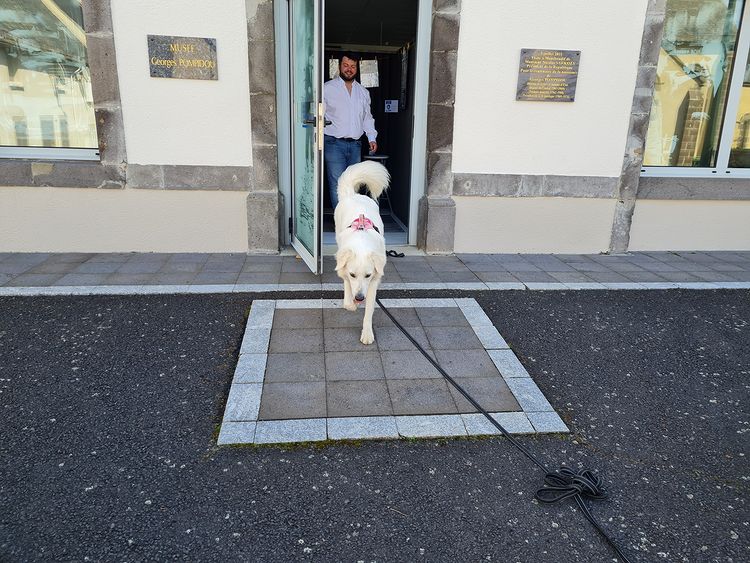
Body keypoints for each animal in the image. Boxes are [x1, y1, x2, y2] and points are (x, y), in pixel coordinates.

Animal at [336, 161, 394, 346]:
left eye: (368, 275)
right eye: (353, 274)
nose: (360, 297)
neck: (361, 241)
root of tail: (352, 195)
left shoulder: (374, 281)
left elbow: (369, 310)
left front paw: (367, 333)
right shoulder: (346, 270)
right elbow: (347, 286)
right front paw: (350, 303)